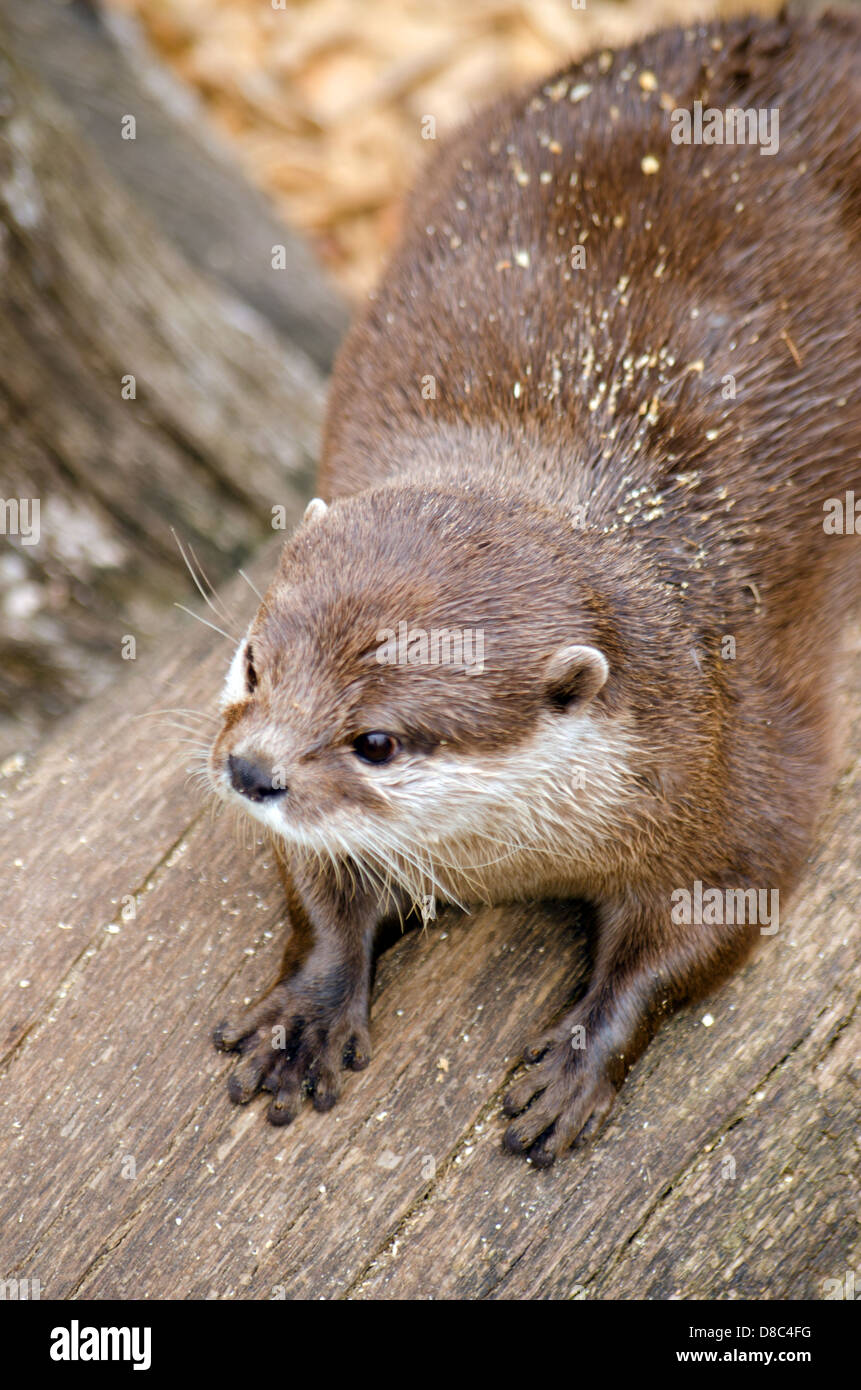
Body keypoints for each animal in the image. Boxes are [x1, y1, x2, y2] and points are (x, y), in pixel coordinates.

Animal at [208, 11, 861, 1165]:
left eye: (378, 740)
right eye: (253, 661)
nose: (252, 770)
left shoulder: (742, 762)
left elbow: (713, 918)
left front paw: (582, 1060)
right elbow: (317, 883)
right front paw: (308, 1010)